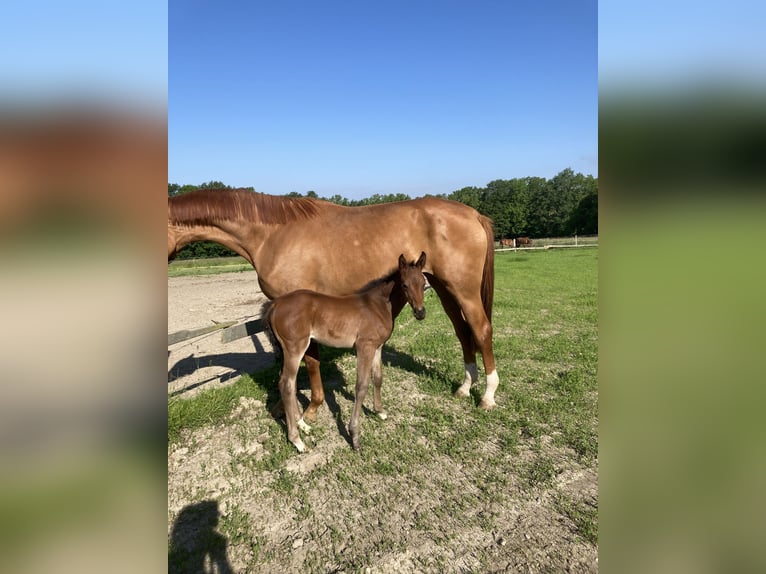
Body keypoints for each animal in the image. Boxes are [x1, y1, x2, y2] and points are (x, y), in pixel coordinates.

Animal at [168, 189, 500, 418]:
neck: (274, 234)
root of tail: (473, 214)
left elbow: (310, 360)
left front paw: (308, 409)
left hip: (463, 290)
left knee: (481, 330)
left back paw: (487, 396)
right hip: (443, 288)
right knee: (463, 331)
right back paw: (463, 387)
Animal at [268, 254, 428, 452]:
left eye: (423, 283)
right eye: (405, 285)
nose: (420, 313)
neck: (378, 306)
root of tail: (275, 305)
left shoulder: (377, 347)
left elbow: (378, 378)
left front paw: (380, 412)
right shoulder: (364, 347)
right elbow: (361, 386)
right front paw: (355, 436)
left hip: (288, 350)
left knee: (288, 382)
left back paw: (303, 425)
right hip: (295, 348)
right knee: (286, 384)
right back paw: (297, 441)